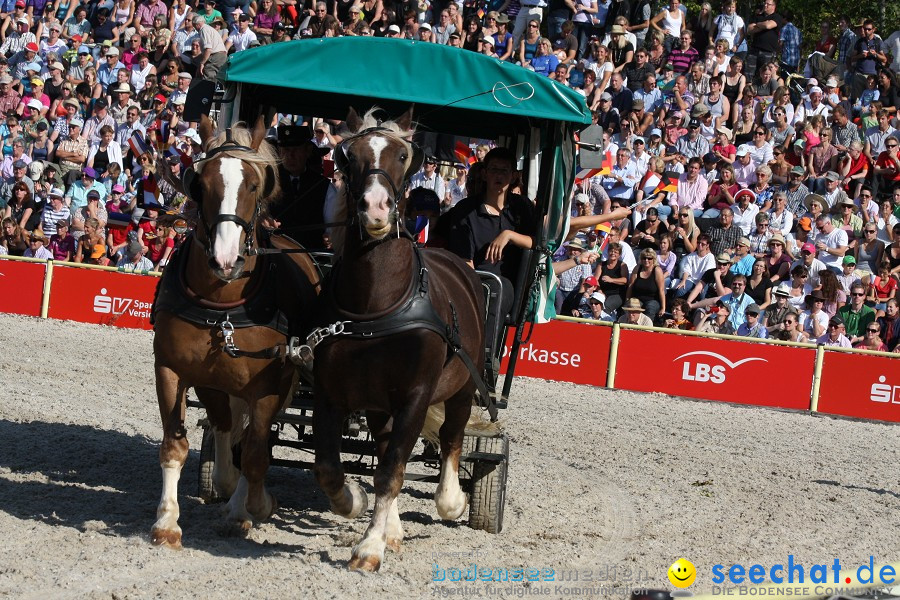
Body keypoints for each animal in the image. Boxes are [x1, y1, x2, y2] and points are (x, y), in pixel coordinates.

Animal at [153, 117, 322, 548]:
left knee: (253, 443)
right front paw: (167, 522)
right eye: (200, 182)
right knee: (231, 432)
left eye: (255, 184)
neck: (224, 306)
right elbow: (178, 445)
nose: (226, 259)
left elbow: (257, 456)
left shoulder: (272, 384)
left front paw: (253, 508)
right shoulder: (177, 371)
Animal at [312, 108, 496, 572]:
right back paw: (392, 525)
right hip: (379, 402)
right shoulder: (330, 389)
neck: (377, 304)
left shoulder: (415, 395)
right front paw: (355, 503)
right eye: (348, 155)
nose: (376, 208)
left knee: (451, 437)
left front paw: (369, 547)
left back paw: (451, 500)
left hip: (462, 387)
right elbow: (330, 466)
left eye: (401, 155)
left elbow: (394, 469)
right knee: (383, 444)